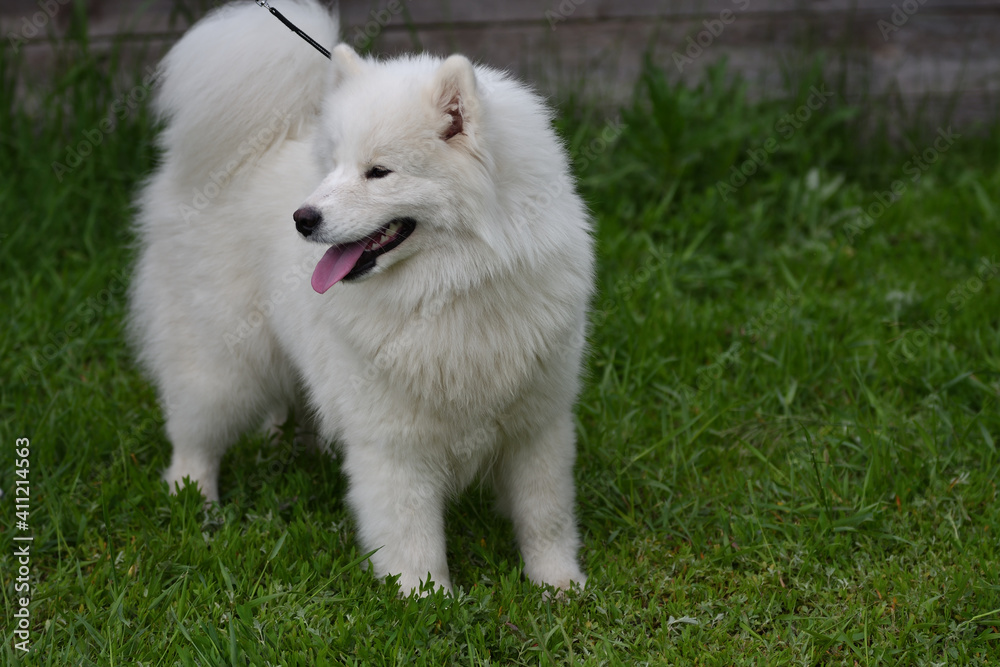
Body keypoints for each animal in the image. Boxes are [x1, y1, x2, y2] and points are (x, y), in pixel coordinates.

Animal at [128, 0, 588, 596]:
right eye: (334, 167)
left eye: (378, 172)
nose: (302, 218)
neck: (454, 287)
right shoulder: (394, 441)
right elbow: (412, 535)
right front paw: (426, 599)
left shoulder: (538, 425)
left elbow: (544, 515)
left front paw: (559, 587)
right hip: (223, 362)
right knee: (193, 435)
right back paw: (193, 501)